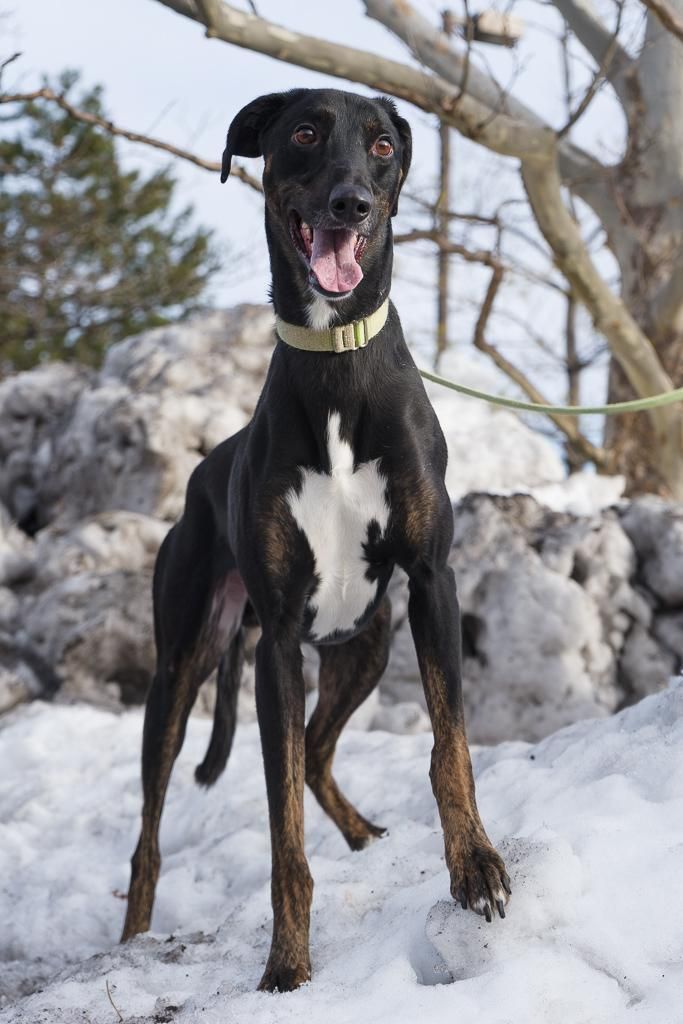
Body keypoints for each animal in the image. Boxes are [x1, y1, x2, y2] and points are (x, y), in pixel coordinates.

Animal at [121, 90, 507, 991]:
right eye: (302, 133)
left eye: (381, 145)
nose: (350, 203)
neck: (335, 356)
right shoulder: (275, 644)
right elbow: (282, 829)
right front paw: (287, 964)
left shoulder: (431, 583)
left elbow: (449, 747)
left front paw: (473, 866)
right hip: (185, 664)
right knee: (153, 830)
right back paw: (133, 940)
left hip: (365, 643)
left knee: (320, 753)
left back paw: (366, 835)